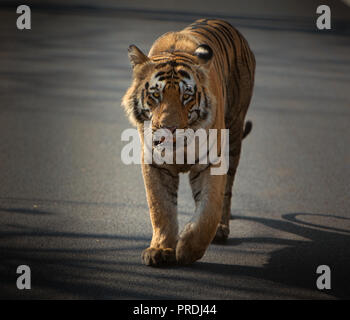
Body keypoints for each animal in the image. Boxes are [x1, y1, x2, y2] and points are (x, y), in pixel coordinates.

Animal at [121, 18, 256, 266]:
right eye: (156, 95)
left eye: (186, 96)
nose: (169, 130)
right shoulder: (154, 163)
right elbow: (161, 208)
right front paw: (160, 249)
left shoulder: (211, 162)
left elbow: (208, 212)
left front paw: (187, 250)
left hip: (234, 132)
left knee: (227, 191)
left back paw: (221, 229)